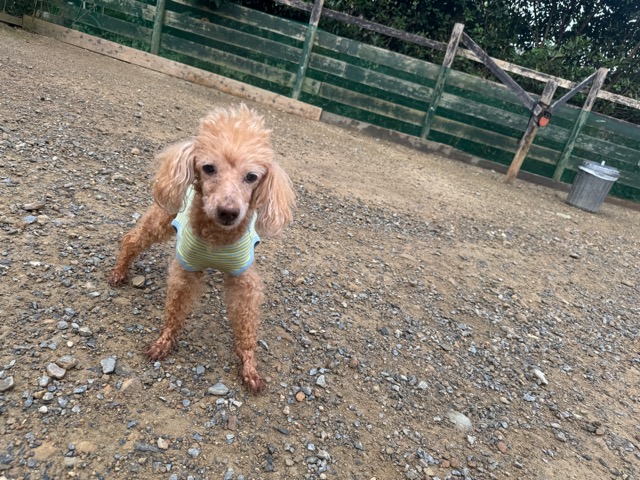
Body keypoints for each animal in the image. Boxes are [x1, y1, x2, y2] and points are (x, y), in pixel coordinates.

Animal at [108, 104, 295, 393]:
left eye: (252, 177)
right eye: (208, 168)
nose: (228, 211)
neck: (217, 240)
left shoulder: (244, 280)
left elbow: (247, 324)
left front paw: (250, 367)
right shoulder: (186, 268)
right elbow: (175, 308)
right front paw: (164, 341)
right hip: (163, 217)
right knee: (132, 239)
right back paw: (119, 271)